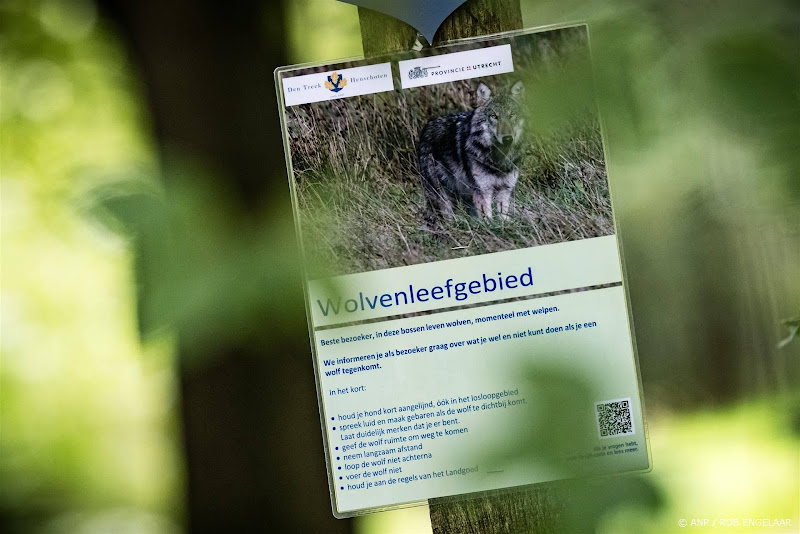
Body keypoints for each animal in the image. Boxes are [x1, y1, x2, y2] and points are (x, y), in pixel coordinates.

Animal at [417, 81, 525, 222]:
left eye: (511, 115)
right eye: (494, 116)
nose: (507, 138)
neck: (499, 160)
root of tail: (427, 126)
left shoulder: (505, 190)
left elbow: (503, 217)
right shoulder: (483, 191)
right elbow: (488, 219)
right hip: (441, 195)